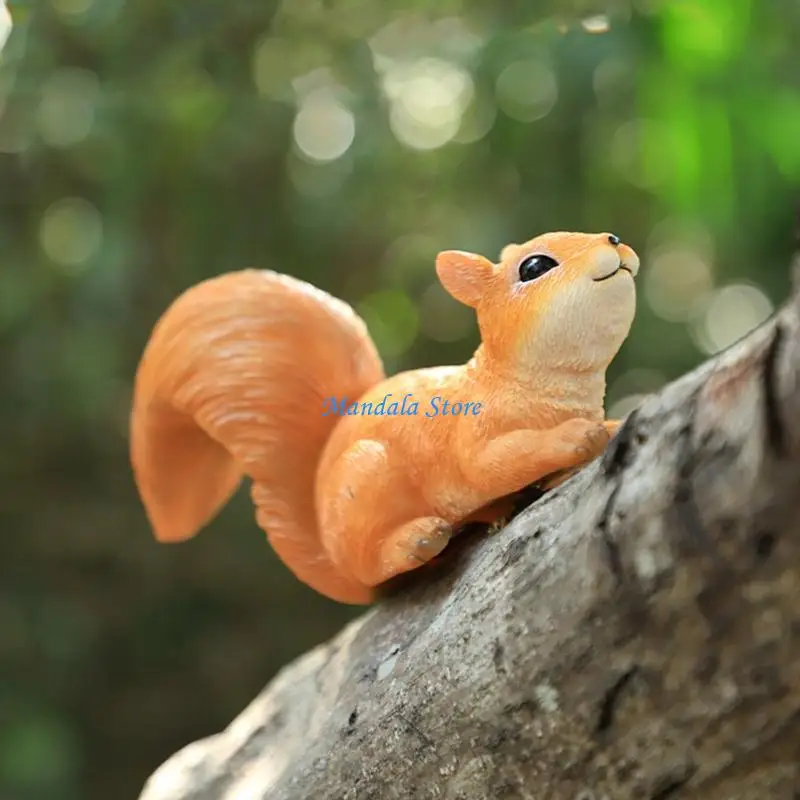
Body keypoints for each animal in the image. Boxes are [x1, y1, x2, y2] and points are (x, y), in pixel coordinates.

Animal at [129, 231, 639, 605]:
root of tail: (330, 548)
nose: (614, 239)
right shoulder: (472, 434)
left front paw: (607, 427)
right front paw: (575, 437)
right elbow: (496, 462)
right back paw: (415, 540)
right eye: (534, 268)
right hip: (368, 477)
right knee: (374, 565)